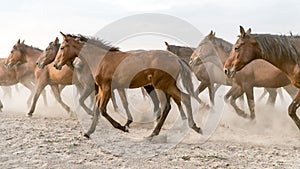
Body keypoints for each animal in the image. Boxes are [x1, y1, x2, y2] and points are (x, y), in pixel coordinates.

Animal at [53, 32, 203, 138]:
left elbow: (102, 109)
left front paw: (122, 127)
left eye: (62, 47)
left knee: (169, 105)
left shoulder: (106, 88)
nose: (55, 65)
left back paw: (155, 133)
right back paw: (192, 127)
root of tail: (175, 58)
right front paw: (89, 132)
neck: (101, 60)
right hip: (167, 86)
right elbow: (97, 109)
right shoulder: (101, 89)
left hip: (162, 85)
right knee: (182, 99)